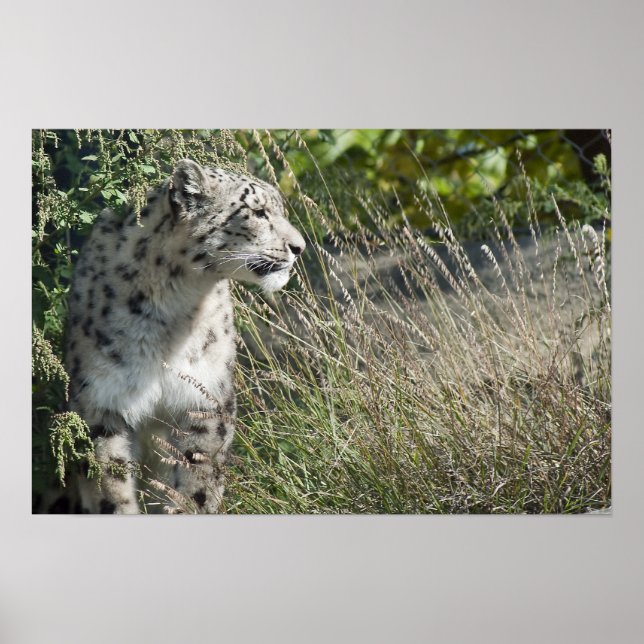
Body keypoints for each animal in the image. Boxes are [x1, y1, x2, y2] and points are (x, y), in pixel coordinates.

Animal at [62, 159, 305, 514]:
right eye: (258, 211)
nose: (299, 247)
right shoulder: (102, 401)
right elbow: (111, 483)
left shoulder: (204, 398)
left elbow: (196, 478)